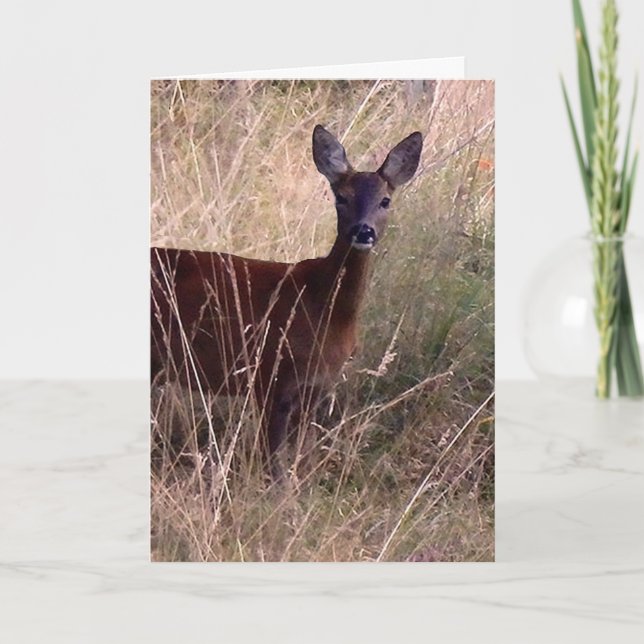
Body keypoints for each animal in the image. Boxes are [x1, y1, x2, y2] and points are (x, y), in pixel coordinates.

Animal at [151, 125, 423, 476]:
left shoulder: (317, 387)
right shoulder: (271, 374)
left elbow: (301, 458)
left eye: (385, 200)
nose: (363, 232)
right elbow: (275, 465)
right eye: (341, 197)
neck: (324, 307)